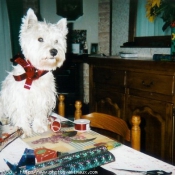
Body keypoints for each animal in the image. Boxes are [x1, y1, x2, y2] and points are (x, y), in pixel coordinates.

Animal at [0, 8, 67, 137]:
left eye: (56, 41)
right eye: (40, 39)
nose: (54, 51)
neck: (35, 72)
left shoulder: (42, 98)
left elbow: (39, 114)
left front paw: (39, 127)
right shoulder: (20, 99)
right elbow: (21, 114)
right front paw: (25, 130)